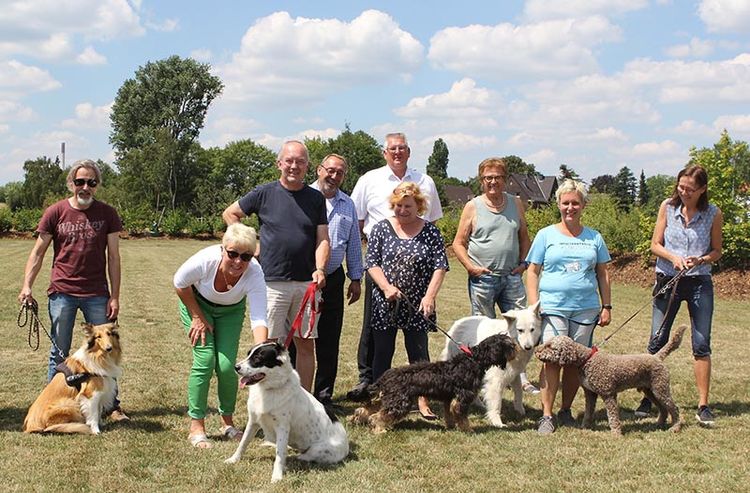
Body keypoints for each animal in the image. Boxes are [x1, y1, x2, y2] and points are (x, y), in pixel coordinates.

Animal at [225, 340, 352, 482]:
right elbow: (243, 443)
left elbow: (280, 455)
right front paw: (234, 459)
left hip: (317, 449)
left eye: (257, 358)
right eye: (248, 354)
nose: (236, 367)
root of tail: (347, 449)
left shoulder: (282, 427)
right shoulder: (253, 422)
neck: (270, 389)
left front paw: (277, 476)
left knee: (300, 456)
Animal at [352, 332, 516, 432]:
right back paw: (379, 429)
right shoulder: (463, 398)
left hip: (389, 397)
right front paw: (467, 429)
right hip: (400, 402)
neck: (474, 360)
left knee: (366, 408)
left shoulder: (448, 398)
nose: (517, 347)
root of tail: (386, 376)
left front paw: (451, 426)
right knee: (378, 415)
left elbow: (449, 414)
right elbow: (462, 417)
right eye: (509, 344)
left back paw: (358, 418)